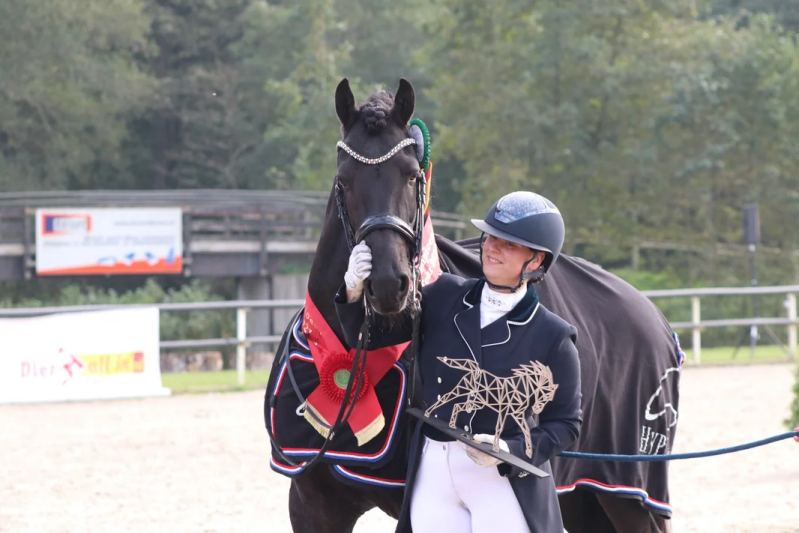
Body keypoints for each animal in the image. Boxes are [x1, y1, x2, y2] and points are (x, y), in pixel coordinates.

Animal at [265, 78, 681, 533]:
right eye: (344, 179)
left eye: (412, 176)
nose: (388, 285)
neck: (347, 353)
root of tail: (656, 318)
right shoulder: (312, 504)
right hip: (583, 497)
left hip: (629, 495)